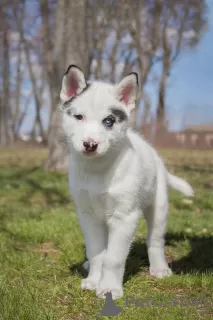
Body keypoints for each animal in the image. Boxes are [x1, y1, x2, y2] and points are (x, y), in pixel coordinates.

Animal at [59, 64, 194, 300]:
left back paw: (159, 268)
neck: (98, 170)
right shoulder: (88, 216)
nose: (90, 144)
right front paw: (93, 280)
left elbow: (113, 258)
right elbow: (97, 253)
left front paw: (109, 288)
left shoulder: (125, 217)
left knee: (155, 241)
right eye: (79, 117)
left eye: (108, 121)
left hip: (158, 208)